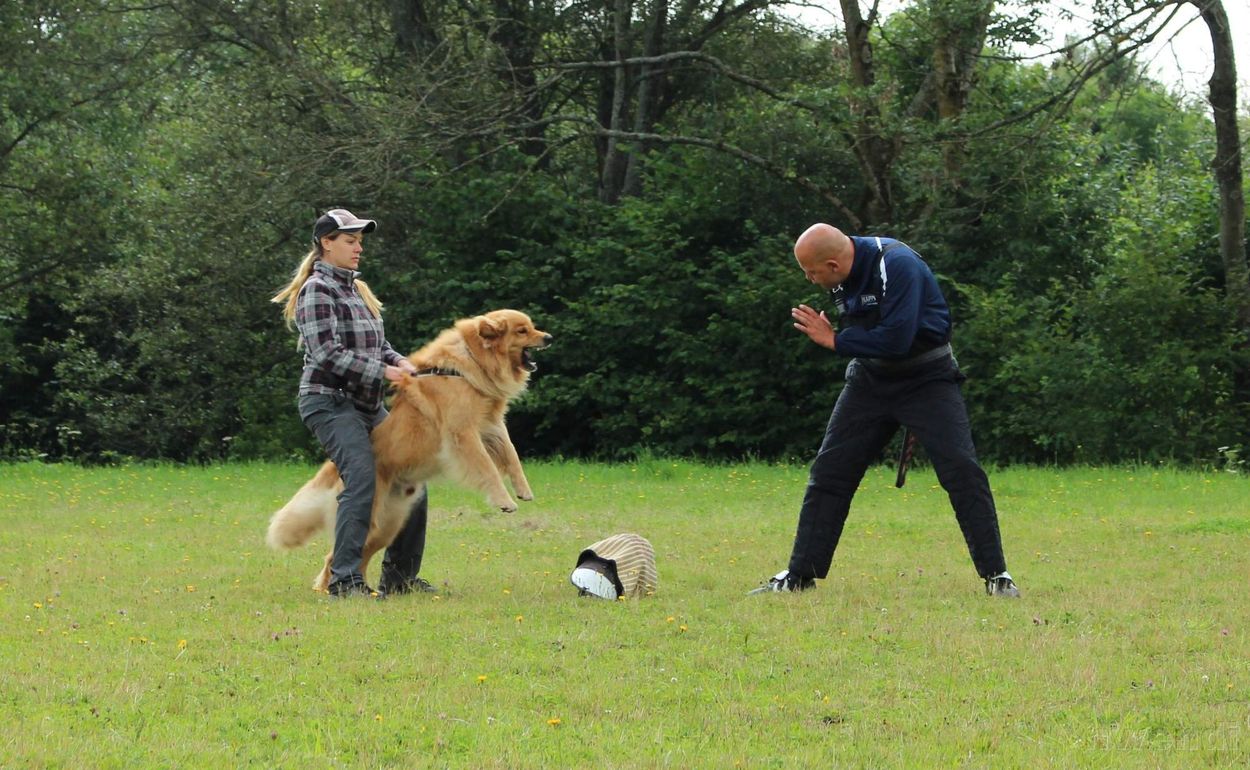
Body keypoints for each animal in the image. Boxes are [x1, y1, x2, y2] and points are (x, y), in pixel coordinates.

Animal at [265, 309, 552, 591]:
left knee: (358, 555)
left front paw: (524, 490)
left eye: (532, 326)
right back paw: (336, 590)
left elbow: (511, 455)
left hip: (387, 527)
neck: (470, 364)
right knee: (335, 556)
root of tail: (335, 467)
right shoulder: (463, 434)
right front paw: (505, 501)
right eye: (522, 330)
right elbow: (488, 468)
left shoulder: (491, 425)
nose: (548, 337)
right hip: (370, 516)